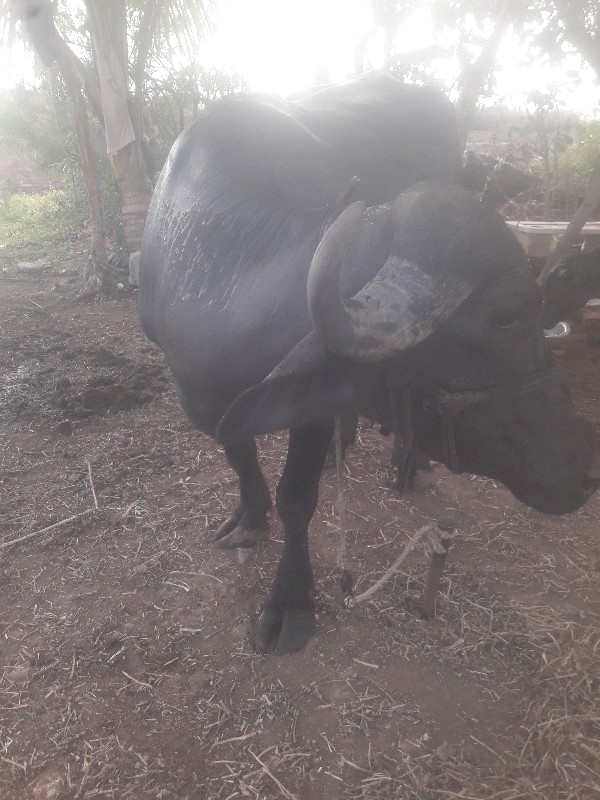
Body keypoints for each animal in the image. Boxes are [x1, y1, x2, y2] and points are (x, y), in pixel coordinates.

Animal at [138, 72, 599, 655]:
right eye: (507, 315)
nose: (586, 470)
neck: (214, 268)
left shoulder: (309, 413)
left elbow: (297, 499)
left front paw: (291, 601)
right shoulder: (198, 397)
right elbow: (237, 454)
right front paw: (248, 515)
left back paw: (407, 461)